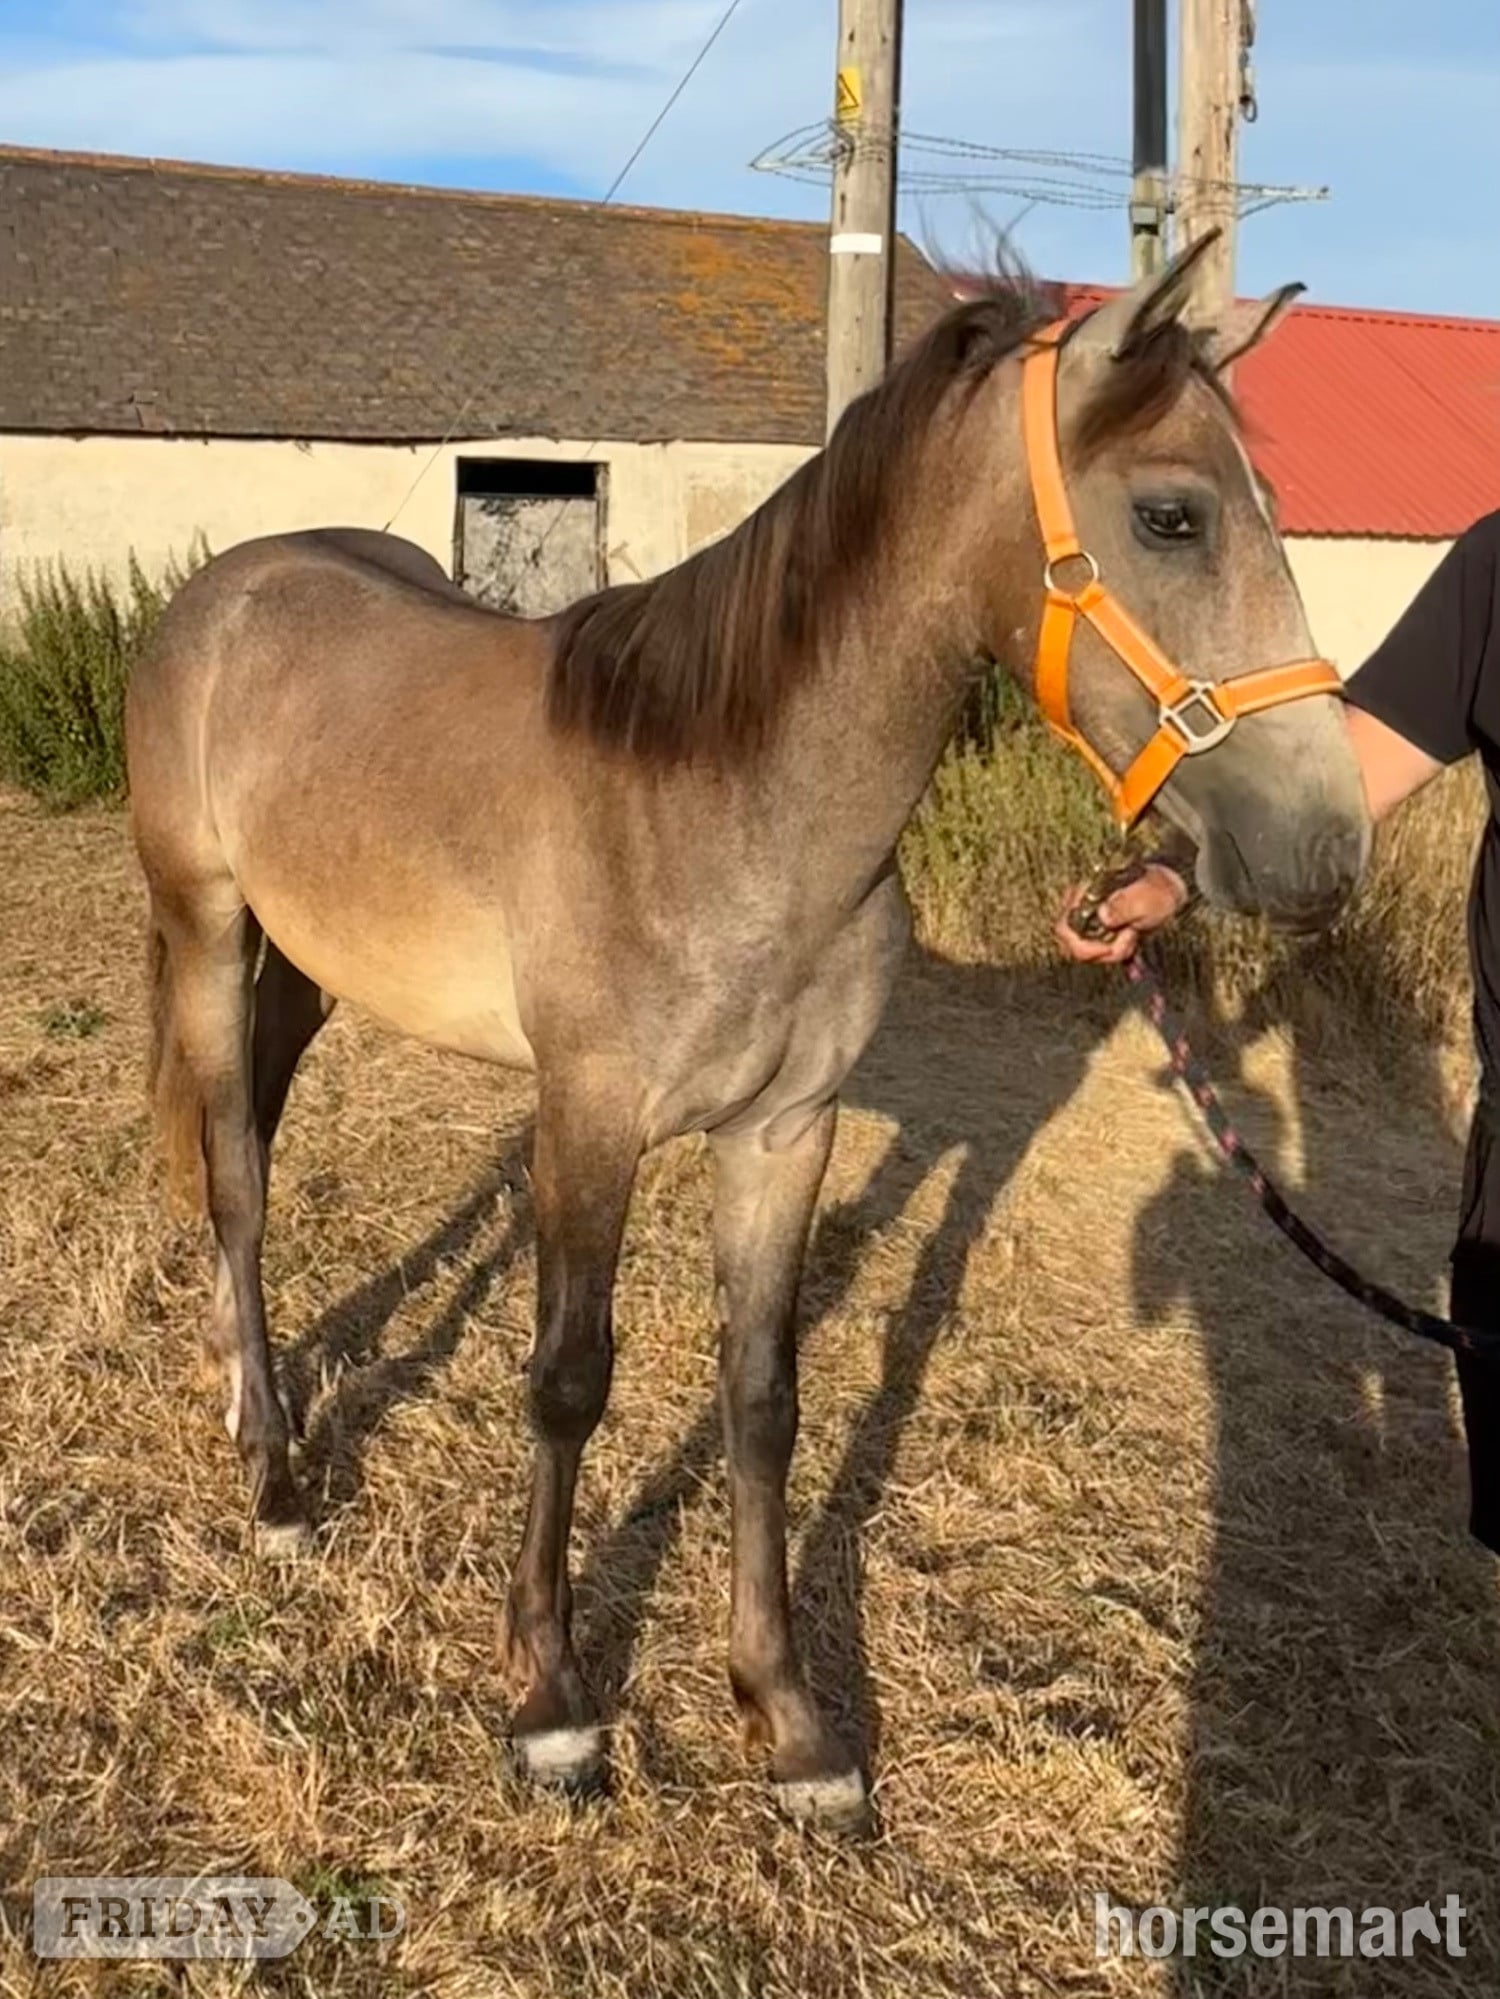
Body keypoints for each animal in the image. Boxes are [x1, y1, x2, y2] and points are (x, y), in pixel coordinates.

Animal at [124, 235, 1370, 1831]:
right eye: (1172, 514)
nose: (1324, 847)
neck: (725, 800)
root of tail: (231, 586)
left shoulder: (786, 1132)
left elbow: (764, 1395)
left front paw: (791, 1719)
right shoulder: (589, 1119)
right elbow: (568, 1381)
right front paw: (551, 1698)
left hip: (305, 967)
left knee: (252, 1153)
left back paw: (244, 1396)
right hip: (212, 933)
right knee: (236, 1183)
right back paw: (277, 1480)